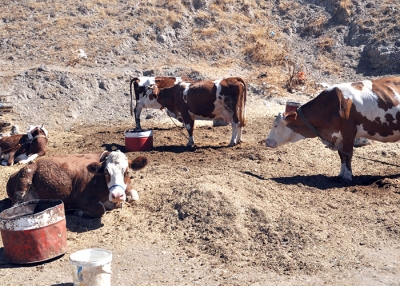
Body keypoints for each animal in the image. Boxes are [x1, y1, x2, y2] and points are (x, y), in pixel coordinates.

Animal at [6, 150, 148, 217]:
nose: (117, 195)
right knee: (15, 205)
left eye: (127, 172)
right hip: (25, 178)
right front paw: (79, 212)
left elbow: (134, 196)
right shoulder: (81, 198)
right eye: (106, 172)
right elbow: (101, 209)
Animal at [266, 76, 400, 181]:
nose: (267, 142)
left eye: (275, 125)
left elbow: (348, 154)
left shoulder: (348, 132)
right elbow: (341, 155)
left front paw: (347, 176)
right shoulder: (338, 136)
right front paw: (341, 174)